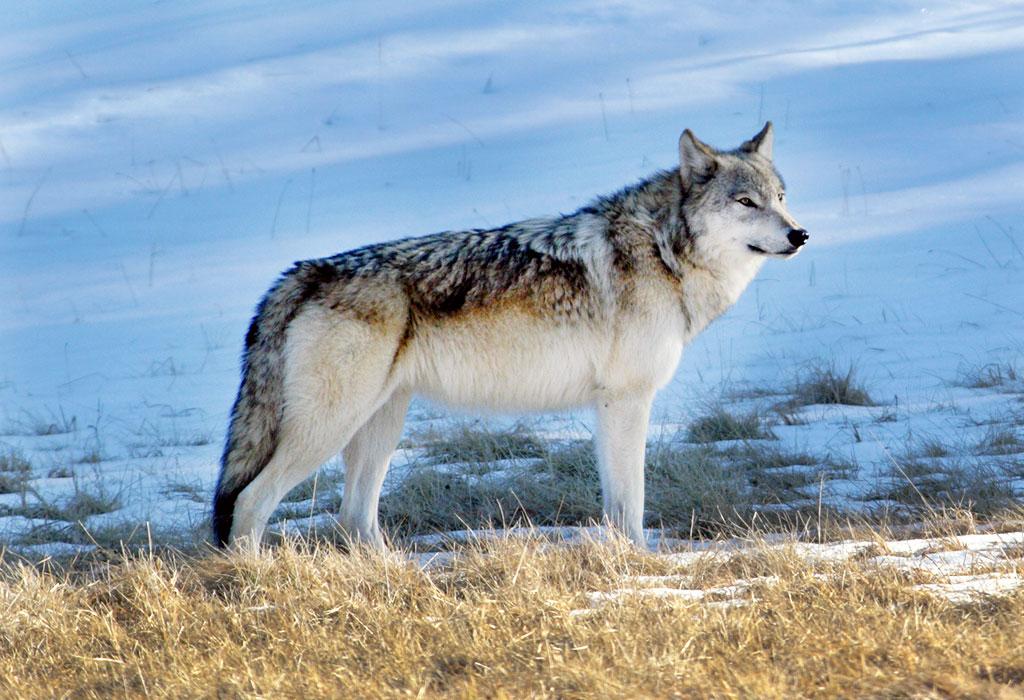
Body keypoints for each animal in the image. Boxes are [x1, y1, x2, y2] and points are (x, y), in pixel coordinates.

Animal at [214, 124, 806, 552]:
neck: (663, 251)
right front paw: (641, 565)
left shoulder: (610, 405)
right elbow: (630, 503)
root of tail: (300, 273)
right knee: (251, 503)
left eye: (780, 196)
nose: (800, 234)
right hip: (330, 427)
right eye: (746, 202)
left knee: (352, 520)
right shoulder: (626, 400)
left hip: (379, 426)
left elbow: (616, 503)